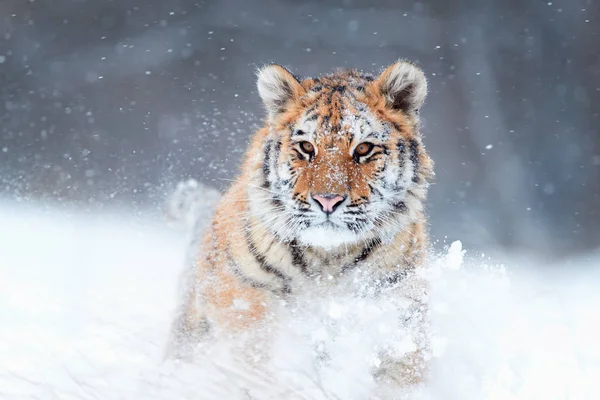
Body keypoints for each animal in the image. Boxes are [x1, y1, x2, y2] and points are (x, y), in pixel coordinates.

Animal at [169, 59, 436, 388]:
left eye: (363, 149)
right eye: (307, 147)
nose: (327, 200)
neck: (327, 259)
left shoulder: (398, 307)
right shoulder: (239, 292)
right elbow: (252, 351)